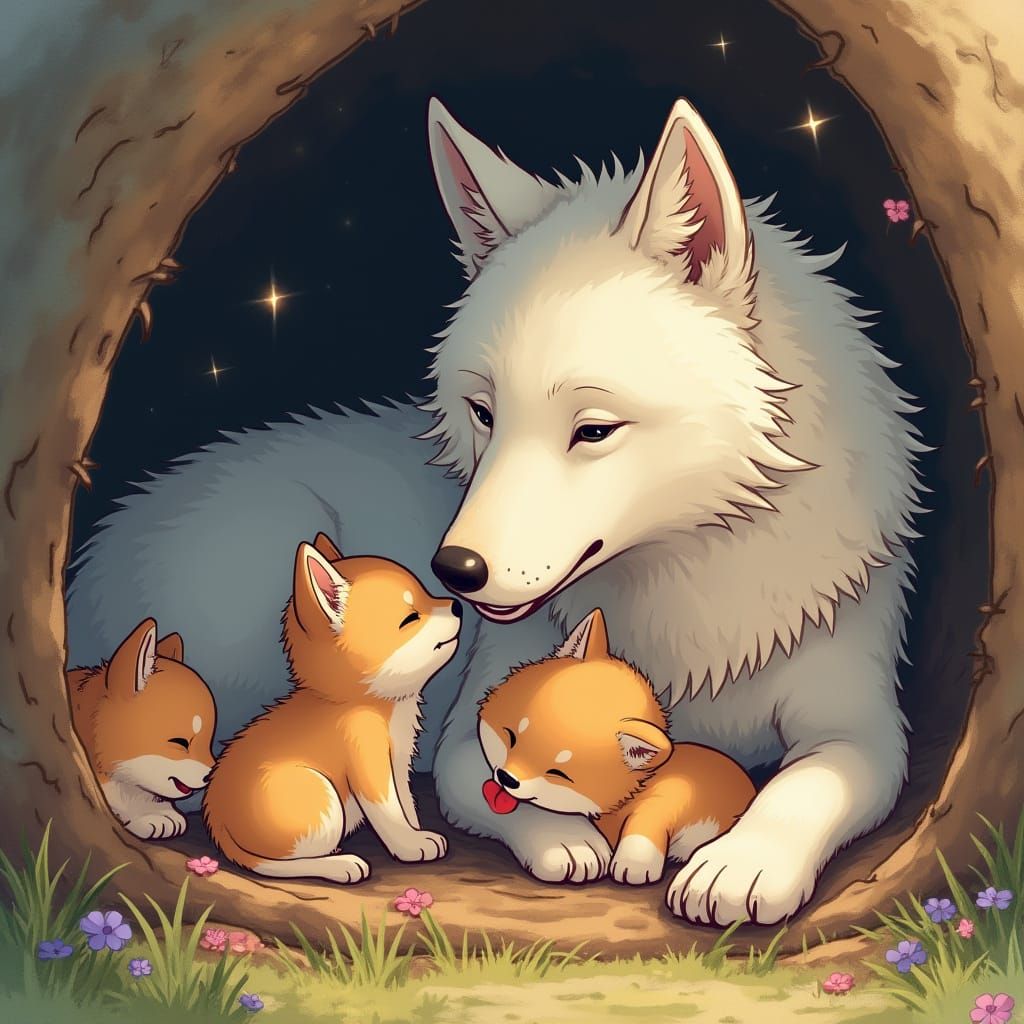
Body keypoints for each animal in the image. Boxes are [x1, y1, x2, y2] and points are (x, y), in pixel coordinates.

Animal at [66, 97, 925, 925]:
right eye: (484, 413)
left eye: (593, 430)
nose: (454, 572)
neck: (678, 594)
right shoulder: (461, 731)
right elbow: (485, 774)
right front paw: (564, 836)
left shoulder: (865, 730)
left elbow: (806, 784)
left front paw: (741, 865)